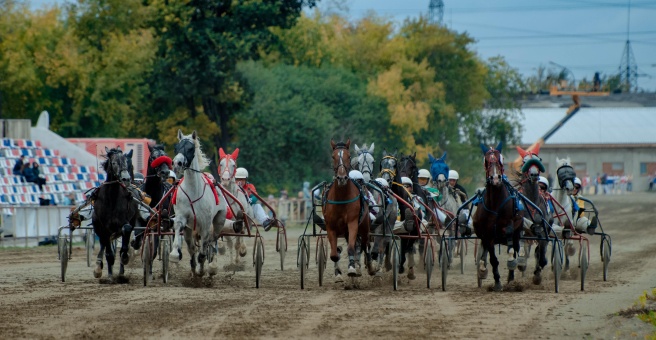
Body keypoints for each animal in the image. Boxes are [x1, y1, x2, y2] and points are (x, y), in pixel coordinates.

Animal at [169, 129, 228, 276]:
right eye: (176, 147)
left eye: (190, 148)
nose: (177, 163)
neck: (193, 191)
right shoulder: (182, 218)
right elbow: (178, 229)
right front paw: (174, 255)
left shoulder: (205, 224)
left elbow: (203, 252)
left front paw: (202, 270)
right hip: (190, 229)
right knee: (191, 247)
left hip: (219, 221)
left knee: (212, 241)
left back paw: (211, 265)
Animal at [322, 139, 374, 278]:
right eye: (333, 156)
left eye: (349, 156)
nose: (342, 178)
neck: (341, 198)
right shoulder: (330, 226)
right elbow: (334, 254)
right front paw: (338, 273)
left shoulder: (352, 223)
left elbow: (352, 247)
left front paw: (352, 268)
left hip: (365, 227)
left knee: (365, 245)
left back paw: (369, 267)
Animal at [472, 142, 524, 290]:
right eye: (486, 160)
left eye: (501, 159)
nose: (495, 178)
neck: (495, 204)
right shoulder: (487, 235)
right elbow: (493, 259)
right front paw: (497, 282)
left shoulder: (510, 221)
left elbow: (509, 235)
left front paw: (511, 260)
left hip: (518, 231)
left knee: (515, 246)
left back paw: (512, 277)